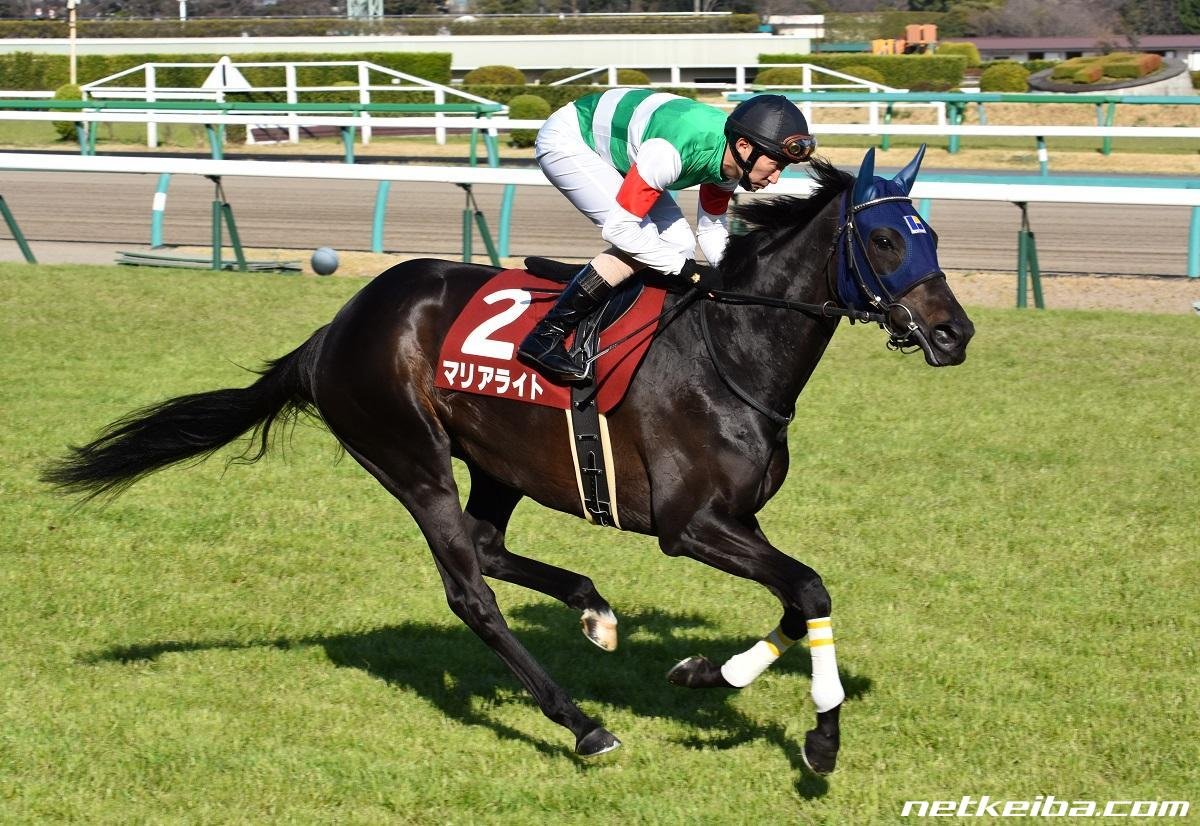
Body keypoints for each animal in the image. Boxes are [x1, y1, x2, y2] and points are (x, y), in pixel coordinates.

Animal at [44, 146, 974, 773]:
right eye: (885, 242)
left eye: (930, 235)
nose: (956, 332)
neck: (729, 348)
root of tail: (332, 330)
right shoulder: (692, 526)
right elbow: (810, 588)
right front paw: (821, 737)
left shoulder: (738, 520)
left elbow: (794, 599)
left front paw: (707, 670)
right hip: (410, 459)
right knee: (469, 590)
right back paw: (582, 721)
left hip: (495, 460)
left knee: (489, 546)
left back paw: (594, 609)